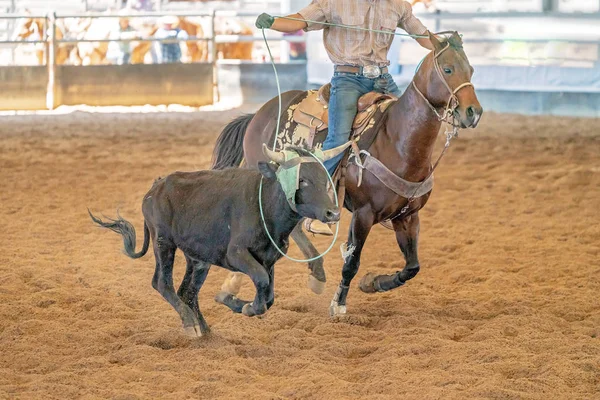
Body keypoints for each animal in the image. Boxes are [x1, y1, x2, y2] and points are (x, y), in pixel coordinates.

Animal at [211, 32, 482, 316]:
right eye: (448, 69)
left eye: (471, 70)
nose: (473, 112)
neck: (398, 140)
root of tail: (259, 114)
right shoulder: (363, 213)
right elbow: (352, 261)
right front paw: (339, 303)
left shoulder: (408, 216)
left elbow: (412, 267)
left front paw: (374, 283)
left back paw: (312, 275)